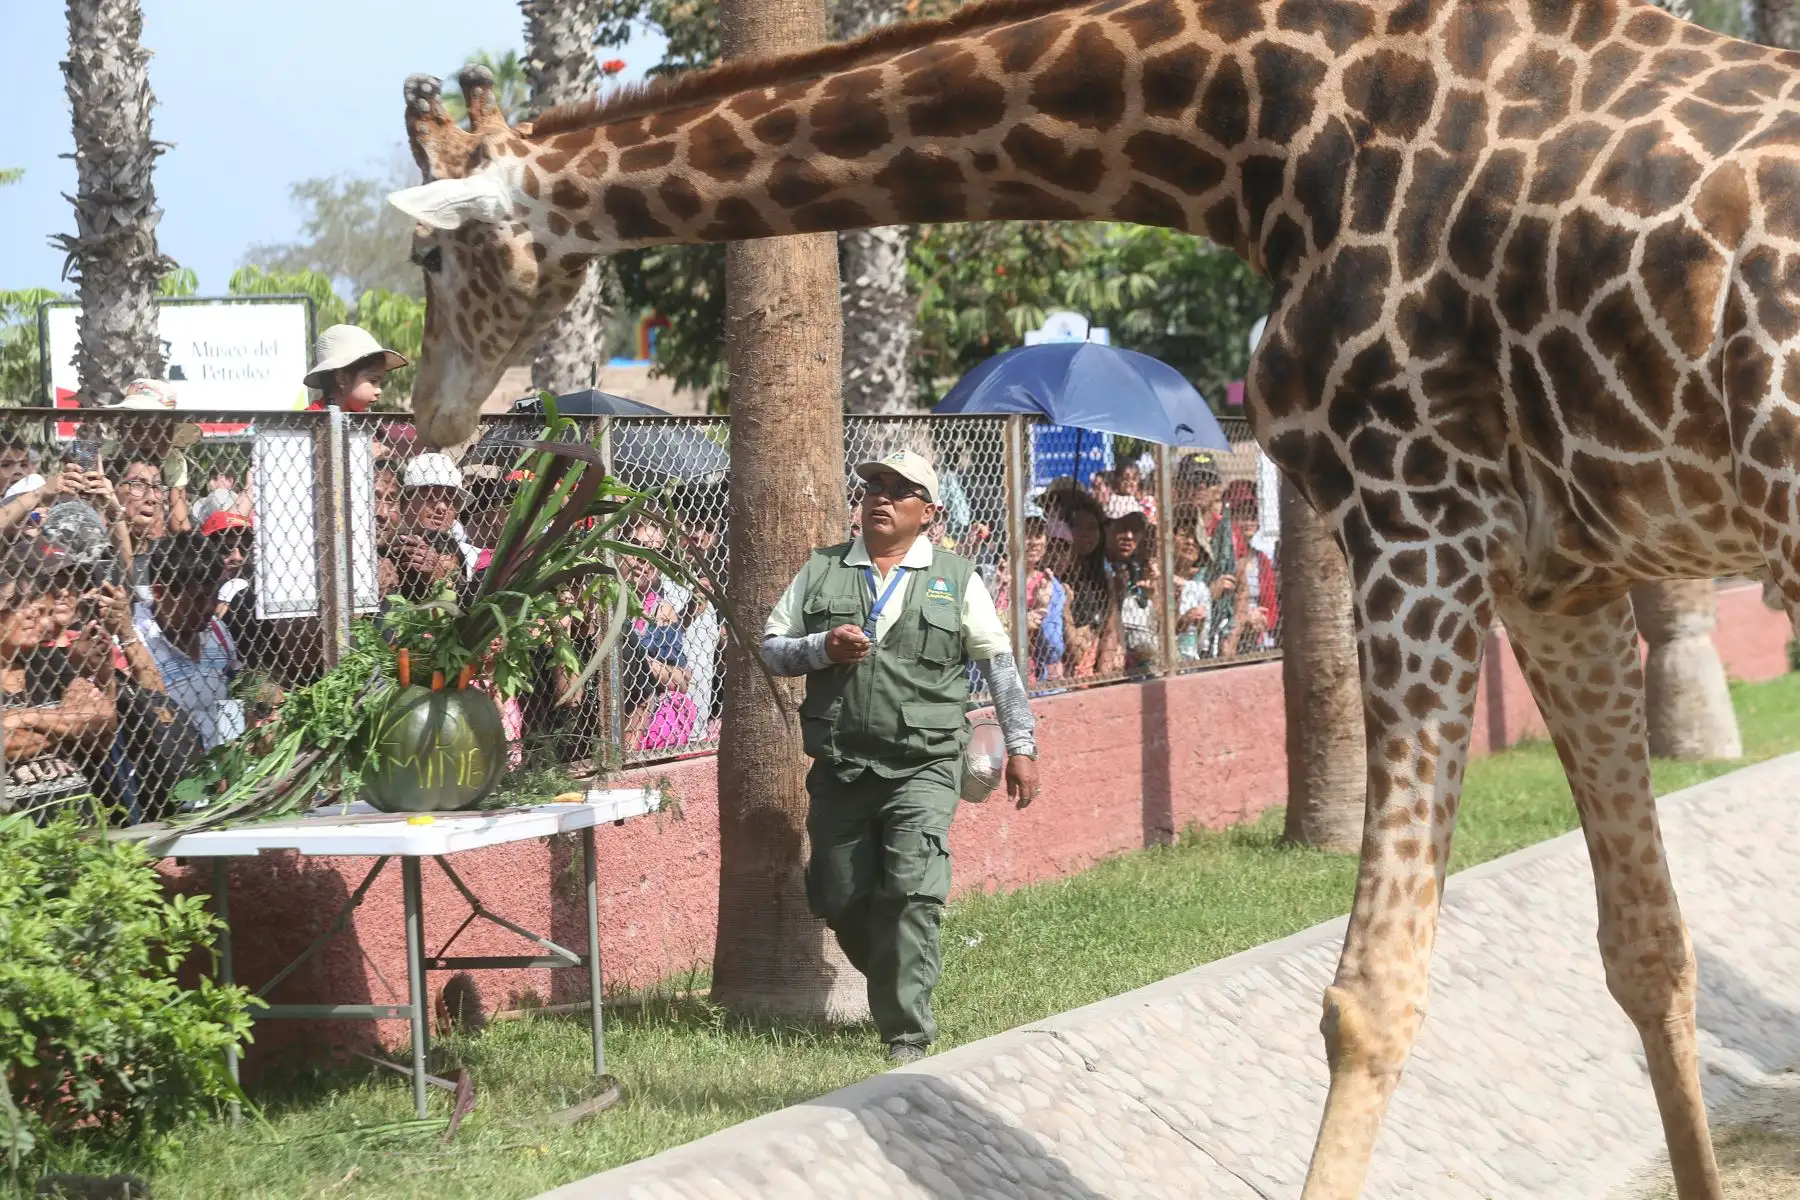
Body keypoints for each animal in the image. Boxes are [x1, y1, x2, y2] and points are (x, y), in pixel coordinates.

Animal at [388, 0, 1800, 1193]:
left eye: (428, 254)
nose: (432, 410)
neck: (1258, 128)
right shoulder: (1556, 569)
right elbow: (1647, 949)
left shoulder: (1416, 519)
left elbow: (1370, 998)